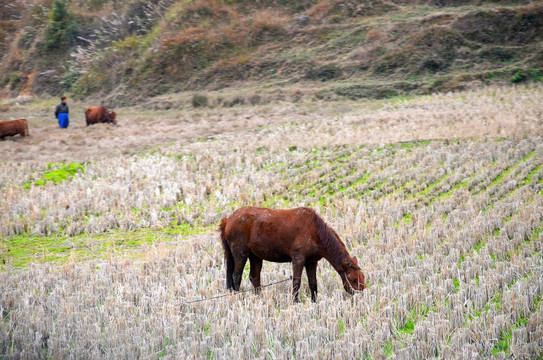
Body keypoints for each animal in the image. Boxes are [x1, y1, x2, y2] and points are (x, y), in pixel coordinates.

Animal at [218, 205, 366, 300]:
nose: (363, 296)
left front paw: (314, 302)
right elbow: (296, 282)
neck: (315, 231)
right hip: (240, 255)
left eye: (362, 278)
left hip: (255, 256)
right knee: (236, 277)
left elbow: (313, 283)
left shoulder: (312, 262)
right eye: (353, 280)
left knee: (254, 278)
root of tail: (228, 220)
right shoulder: (298, 259)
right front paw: (295, 301)